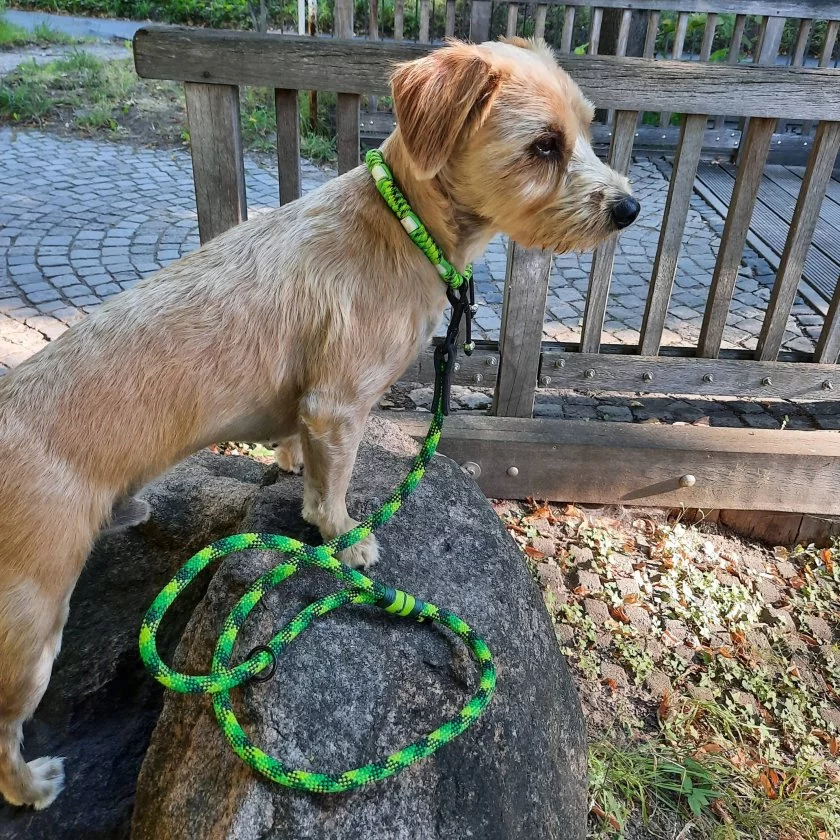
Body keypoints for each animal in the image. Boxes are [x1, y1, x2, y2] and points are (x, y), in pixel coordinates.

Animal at [0, 36, 636, 812]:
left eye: (590, 129)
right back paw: (31, 784)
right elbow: (332, 494)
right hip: (29, 627)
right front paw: (346, 540)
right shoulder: (338, 403)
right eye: (545, 145)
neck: (402, 224)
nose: (629, 207)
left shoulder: (309, 408)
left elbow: (296, 454)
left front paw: (290, 467)